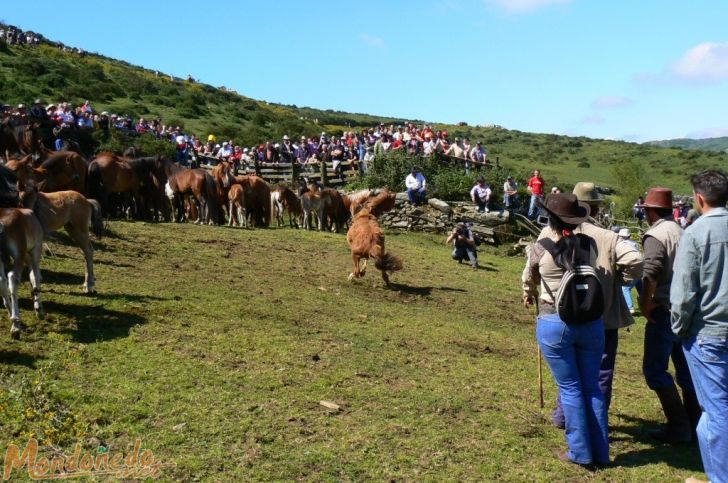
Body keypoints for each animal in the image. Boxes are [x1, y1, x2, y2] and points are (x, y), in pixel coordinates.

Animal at [0, 208, 45, 340]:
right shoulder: (35, 251)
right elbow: (35, 276)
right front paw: (39, 310)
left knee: (2, 280)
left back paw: (12, 316)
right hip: (19, 256)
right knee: (12, 277)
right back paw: (15, 326)